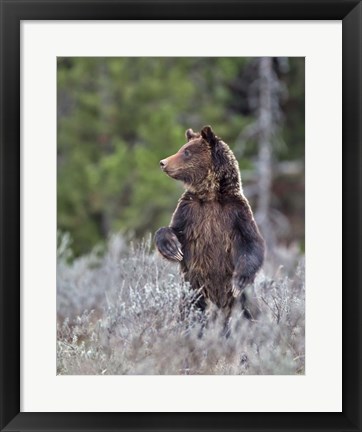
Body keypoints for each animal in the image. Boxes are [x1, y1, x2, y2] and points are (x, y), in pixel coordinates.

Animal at [154, 123, 264, 318]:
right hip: (194, 289)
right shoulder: (190, 211)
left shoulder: (236, 213)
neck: (210, 195)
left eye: (187, 152)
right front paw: (172, 248)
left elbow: (251, 243)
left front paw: (239, 281)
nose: (163, 162)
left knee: (249, 311)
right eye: (182, 148)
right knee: (191, 309)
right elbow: (174, 230)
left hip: (240, 300)